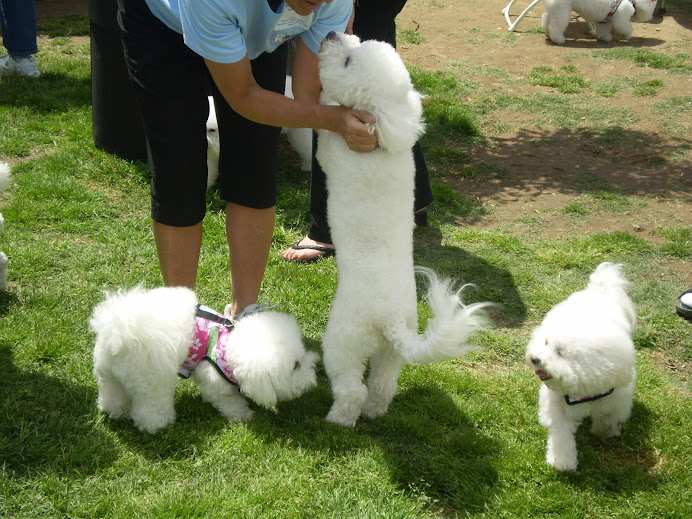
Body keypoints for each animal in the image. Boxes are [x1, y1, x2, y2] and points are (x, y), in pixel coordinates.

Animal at [90, 286, 320, 432]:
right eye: (295, 366)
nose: (315, 368)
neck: (226, 350)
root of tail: (118, 330)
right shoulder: (214, 382)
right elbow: (229, 401)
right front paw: (242, 415)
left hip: (108, 374)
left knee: (112, 394)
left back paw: (116, 412)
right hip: (150, 380)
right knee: (150, 406)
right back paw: (156, 426)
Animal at [314, 33, 492, 430]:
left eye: (348, 61)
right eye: (355, 41)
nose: (332, 34)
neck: (380, 138)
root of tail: (391, 321)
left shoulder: (333, 149)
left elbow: (325, 131)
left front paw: (325, 102)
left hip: (344, 340)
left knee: (353, 388)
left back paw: (338, 419)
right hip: (389, 353)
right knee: (382, 385)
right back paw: (373, 412)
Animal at [524, 264, 636, 472]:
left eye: (560, 352)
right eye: (545, 342)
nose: (534, 358)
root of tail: (600, 289)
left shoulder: (615, 399)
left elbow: (607, 418)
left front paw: (604, 432)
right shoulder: (557, 406)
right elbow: (561, 436)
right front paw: (561, 461)